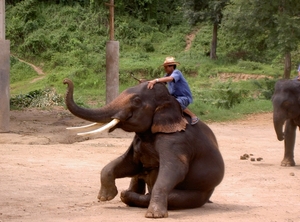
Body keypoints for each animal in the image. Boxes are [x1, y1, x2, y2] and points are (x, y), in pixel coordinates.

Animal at [62, 79, 225, 218]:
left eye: (136, 101)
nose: (65, 81)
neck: (169, 101)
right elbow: (129, 164)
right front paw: (104, 198)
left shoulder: (177, 141)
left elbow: (175, 169)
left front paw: (154, 215)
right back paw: (126, 194)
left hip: (200, 192)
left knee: (173, 197)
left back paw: (128, 195)